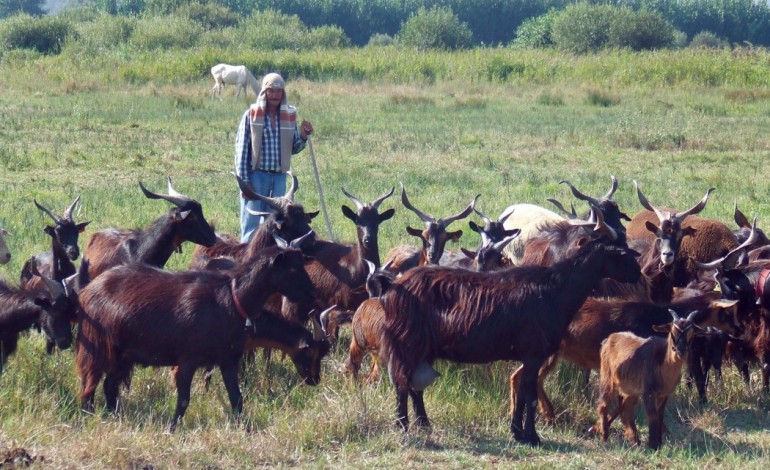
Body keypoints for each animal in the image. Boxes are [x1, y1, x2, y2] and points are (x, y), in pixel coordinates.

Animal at [376, 211, 636, 442]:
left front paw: (517, 433)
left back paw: (424, 424)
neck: (555, 289)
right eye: (622, 252)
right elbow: (529, 395)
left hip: (422, 348)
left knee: (414, 387)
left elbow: (521, 394)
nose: (637, 274)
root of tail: (393, 286)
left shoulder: (530, 356)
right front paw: (532, 436)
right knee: (401, 383)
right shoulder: (534, 354)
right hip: (406, 342)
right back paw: (403, 426)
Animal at [592, 310, 704, 450]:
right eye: (672, 331)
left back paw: (635, 440)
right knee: (603, 405)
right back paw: (605, 437)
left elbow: (660, 415)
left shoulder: (664, 394)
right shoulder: (648, 392)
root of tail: (609, 339)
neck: (664, 362)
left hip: (631, 389)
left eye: (691, 332)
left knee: (626, 410)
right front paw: (653, 444)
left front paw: (659, 442)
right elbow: (652, 415)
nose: (681, 351)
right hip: (607, 378)